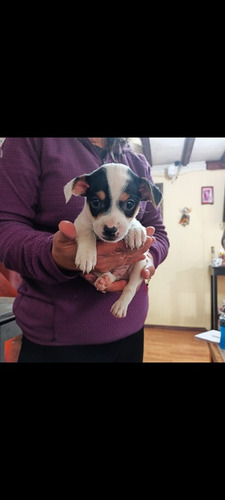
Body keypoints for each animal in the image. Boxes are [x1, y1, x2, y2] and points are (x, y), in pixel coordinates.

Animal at [63, 164, 162, 320]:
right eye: (95, 202)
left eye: (130, 204)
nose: (110, 229)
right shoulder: (80, 224)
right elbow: (87, 233)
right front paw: (86, 255)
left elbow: (132, 222)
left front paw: (135, 231)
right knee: (111, 275)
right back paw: (105, 280)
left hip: (140, 265)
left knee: (130, 287)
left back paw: (120, 305)